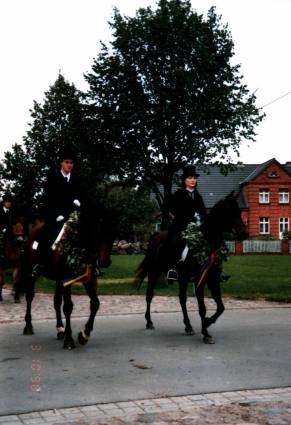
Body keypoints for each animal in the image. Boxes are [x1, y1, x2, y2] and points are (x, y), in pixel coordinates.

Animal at [14, 205, 117, 348]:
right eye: (100, 229)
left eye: (114, 232)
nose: (105, 262)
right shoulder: (66, 279)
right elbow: (68, 307)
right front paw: (69, 339)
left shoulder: (88, 279)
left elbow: (95, 304)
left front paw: (84, 335)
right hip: (32, 273)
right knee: (30, 296)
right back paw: (28, 326)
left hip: (58, 280)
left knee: (56, 301)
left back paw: (60, 329)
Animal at [136, 190, 250, 342]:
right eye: (228, 211)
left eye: (239, 211)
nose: (244, 233)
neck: (205, 244)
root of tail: (156, 235)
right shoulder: (199, 281)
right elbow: (202, 308)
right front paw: (206, 332)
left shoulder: (212, 280)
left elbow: (221, 307)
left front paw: (207, 323)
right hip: (154, 273)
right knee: (149, 295)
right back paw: (149, 322)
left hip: (182, 279)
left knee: (182, 299)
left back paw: (188, 326)